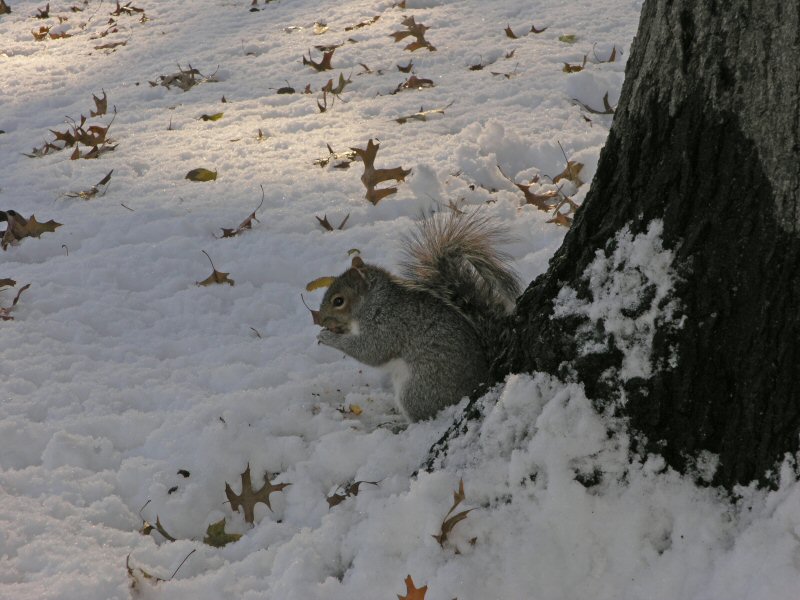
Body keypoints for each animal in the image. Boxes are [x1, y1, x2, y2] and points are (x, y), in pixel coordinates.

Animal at [316, 211, 520, 422]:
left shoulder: (388, 326)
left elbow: (370, 350)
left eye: (338, 301)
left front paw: (328, 337)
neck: (375, 302)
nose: (319, 319)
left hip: (418, 390)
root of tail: (477, 383)